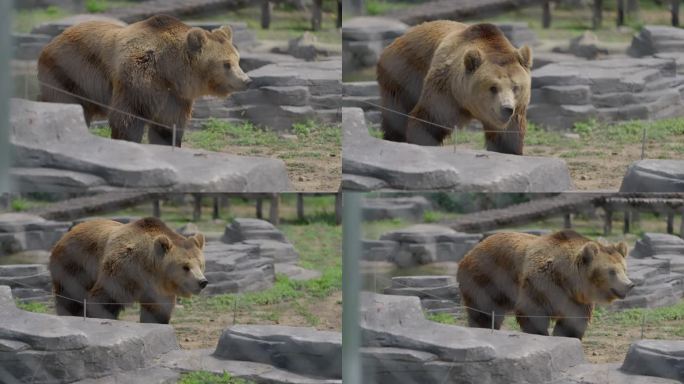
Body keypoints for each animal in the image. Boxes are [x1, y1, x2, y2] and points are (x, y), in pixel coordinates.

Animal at [38, 14, 251, 147]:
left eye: (238, 59)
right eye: (226, 64)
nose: (246, 80)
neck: (171, 71)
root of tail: (52, 41)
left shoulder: (176, 95)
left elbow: (169, 124)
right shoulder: (139, 77)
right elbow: (128, 117)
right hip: (69, 72)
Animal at [48, 218, 206, 322]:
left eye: (201, 264)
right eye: (185, 267)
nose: (202, 282)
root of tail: (66, 234)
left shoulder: (158, 290)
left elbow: (157, 311)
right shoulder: (123, 271)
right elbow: (105, 299)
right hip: (73, 264)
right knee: (70, 297)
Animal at [376, 21, 532, 154]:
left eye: (515, 87)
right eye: (493, 87)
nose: (506, 109)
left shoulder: (515, 112)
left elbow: (507, 136)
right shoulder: (445, 89)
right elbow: (428, 120)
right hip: (402, 74)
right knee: (396, 114)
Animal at [456, 230, 632, 338]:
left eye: (624, 269)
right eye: (611, 271)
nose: (629, 285)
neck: (567, 280)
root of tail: (471, 251)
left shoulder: (576, 299)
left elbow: (574, 320)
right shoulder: (541, 283)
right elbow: (532, 312)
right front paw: (542, 334)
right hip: (485, 278)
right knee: (483, 311)